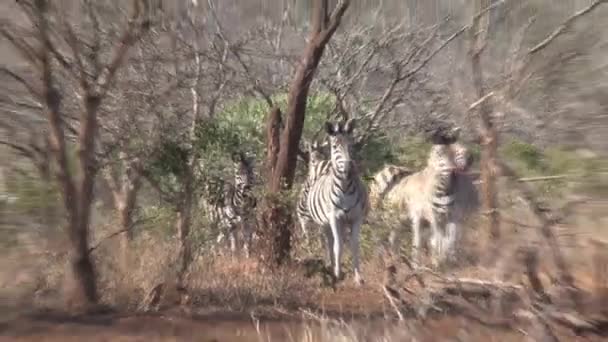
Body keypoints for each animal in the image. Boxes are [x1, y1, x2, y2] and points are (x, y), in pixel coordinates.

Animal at [306, 119, 368, 284]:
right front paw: (338, 273)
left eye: (350, 145)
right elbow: (338, 245)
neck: (345, 188)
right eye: (334, 147)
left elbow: (354, 245)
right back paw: (331, 265)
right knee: (329, 242)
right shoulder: (334, 218)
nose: (349, 167)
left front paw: (358, 276)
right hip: (325, 223)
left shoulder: (356, 218)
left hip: (343, 222)